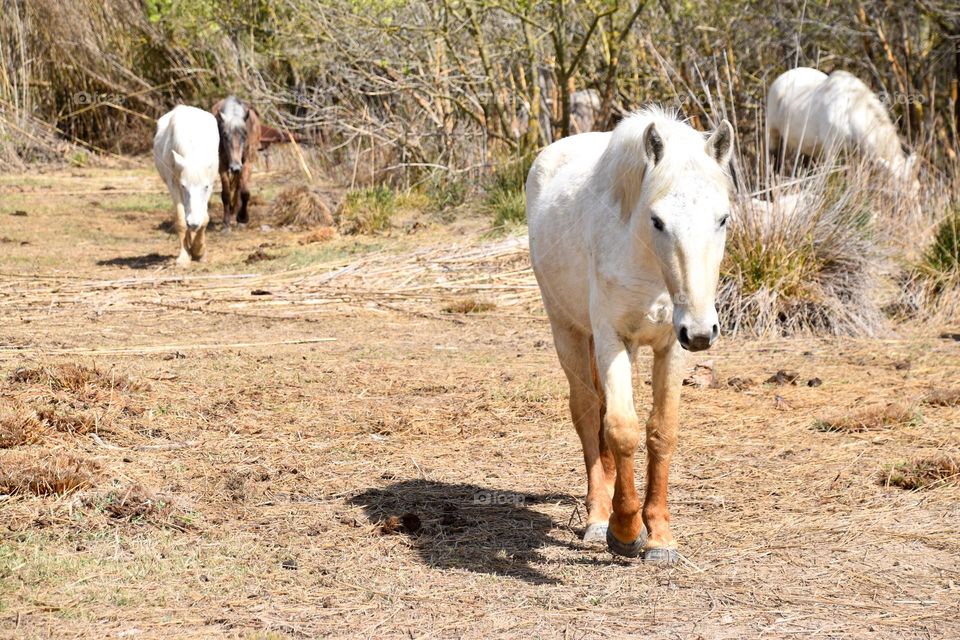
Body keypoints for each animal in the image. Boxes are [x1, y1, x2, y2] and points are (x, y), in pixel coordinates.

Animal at [154, 105, 219, 264]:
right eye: (184, 186)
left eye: (205, 187)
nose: (194, 223)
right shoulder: (173, 184)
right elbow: (181, 219)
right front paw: (184, 257)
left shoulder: (211, 184)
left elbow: (205, 218)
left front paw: (200, 252)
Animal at [211, 96, 260, 231]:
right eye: (224, 135)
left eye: (245, 135)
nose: (235, 167)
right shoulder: (222, 164)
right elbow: (226, 194)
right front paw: (226, 225)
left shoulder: (247, 162)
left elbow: (244, 192)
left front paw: (242, 219)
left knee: (239, 188)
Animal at [528, 106, 732, 564]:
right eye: (657, 220)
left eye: (723, 218)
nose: (701, 331)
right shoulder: (611, 339)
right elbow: (621, 429)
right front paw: (624, 531)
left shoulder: (671, 347)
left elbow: (660, 431)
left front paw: (659, 537)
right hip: (567, 330)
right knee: (588, 412)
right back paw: (597, 517)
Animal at [768, 67, 920, 202]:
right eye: (900, 195)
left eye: (917, 190)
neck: (850, 112)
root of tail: (781, 78)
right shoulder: (831, 151)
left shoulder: (858, 158)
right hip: (774, 136)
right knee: (774, 167)